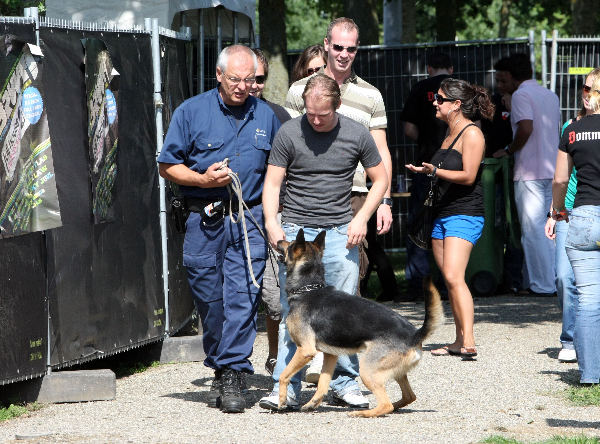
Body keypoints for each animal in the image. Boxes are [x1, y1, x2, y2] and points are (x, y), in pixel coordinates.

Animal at [276, 229, 440, 416]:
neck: (308, 289)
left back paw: (364, 413)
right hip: (397, 372)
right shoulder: (330, 355)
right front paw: (312, 404)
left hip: (367, 371)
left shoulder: (305, 351)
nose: (278, 240)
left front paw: (282, 400)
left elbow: (284, 375)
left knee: (386, 404)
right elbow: (322, 384)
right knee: (409, 397)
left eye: (290, 243)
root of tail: (414, 335)